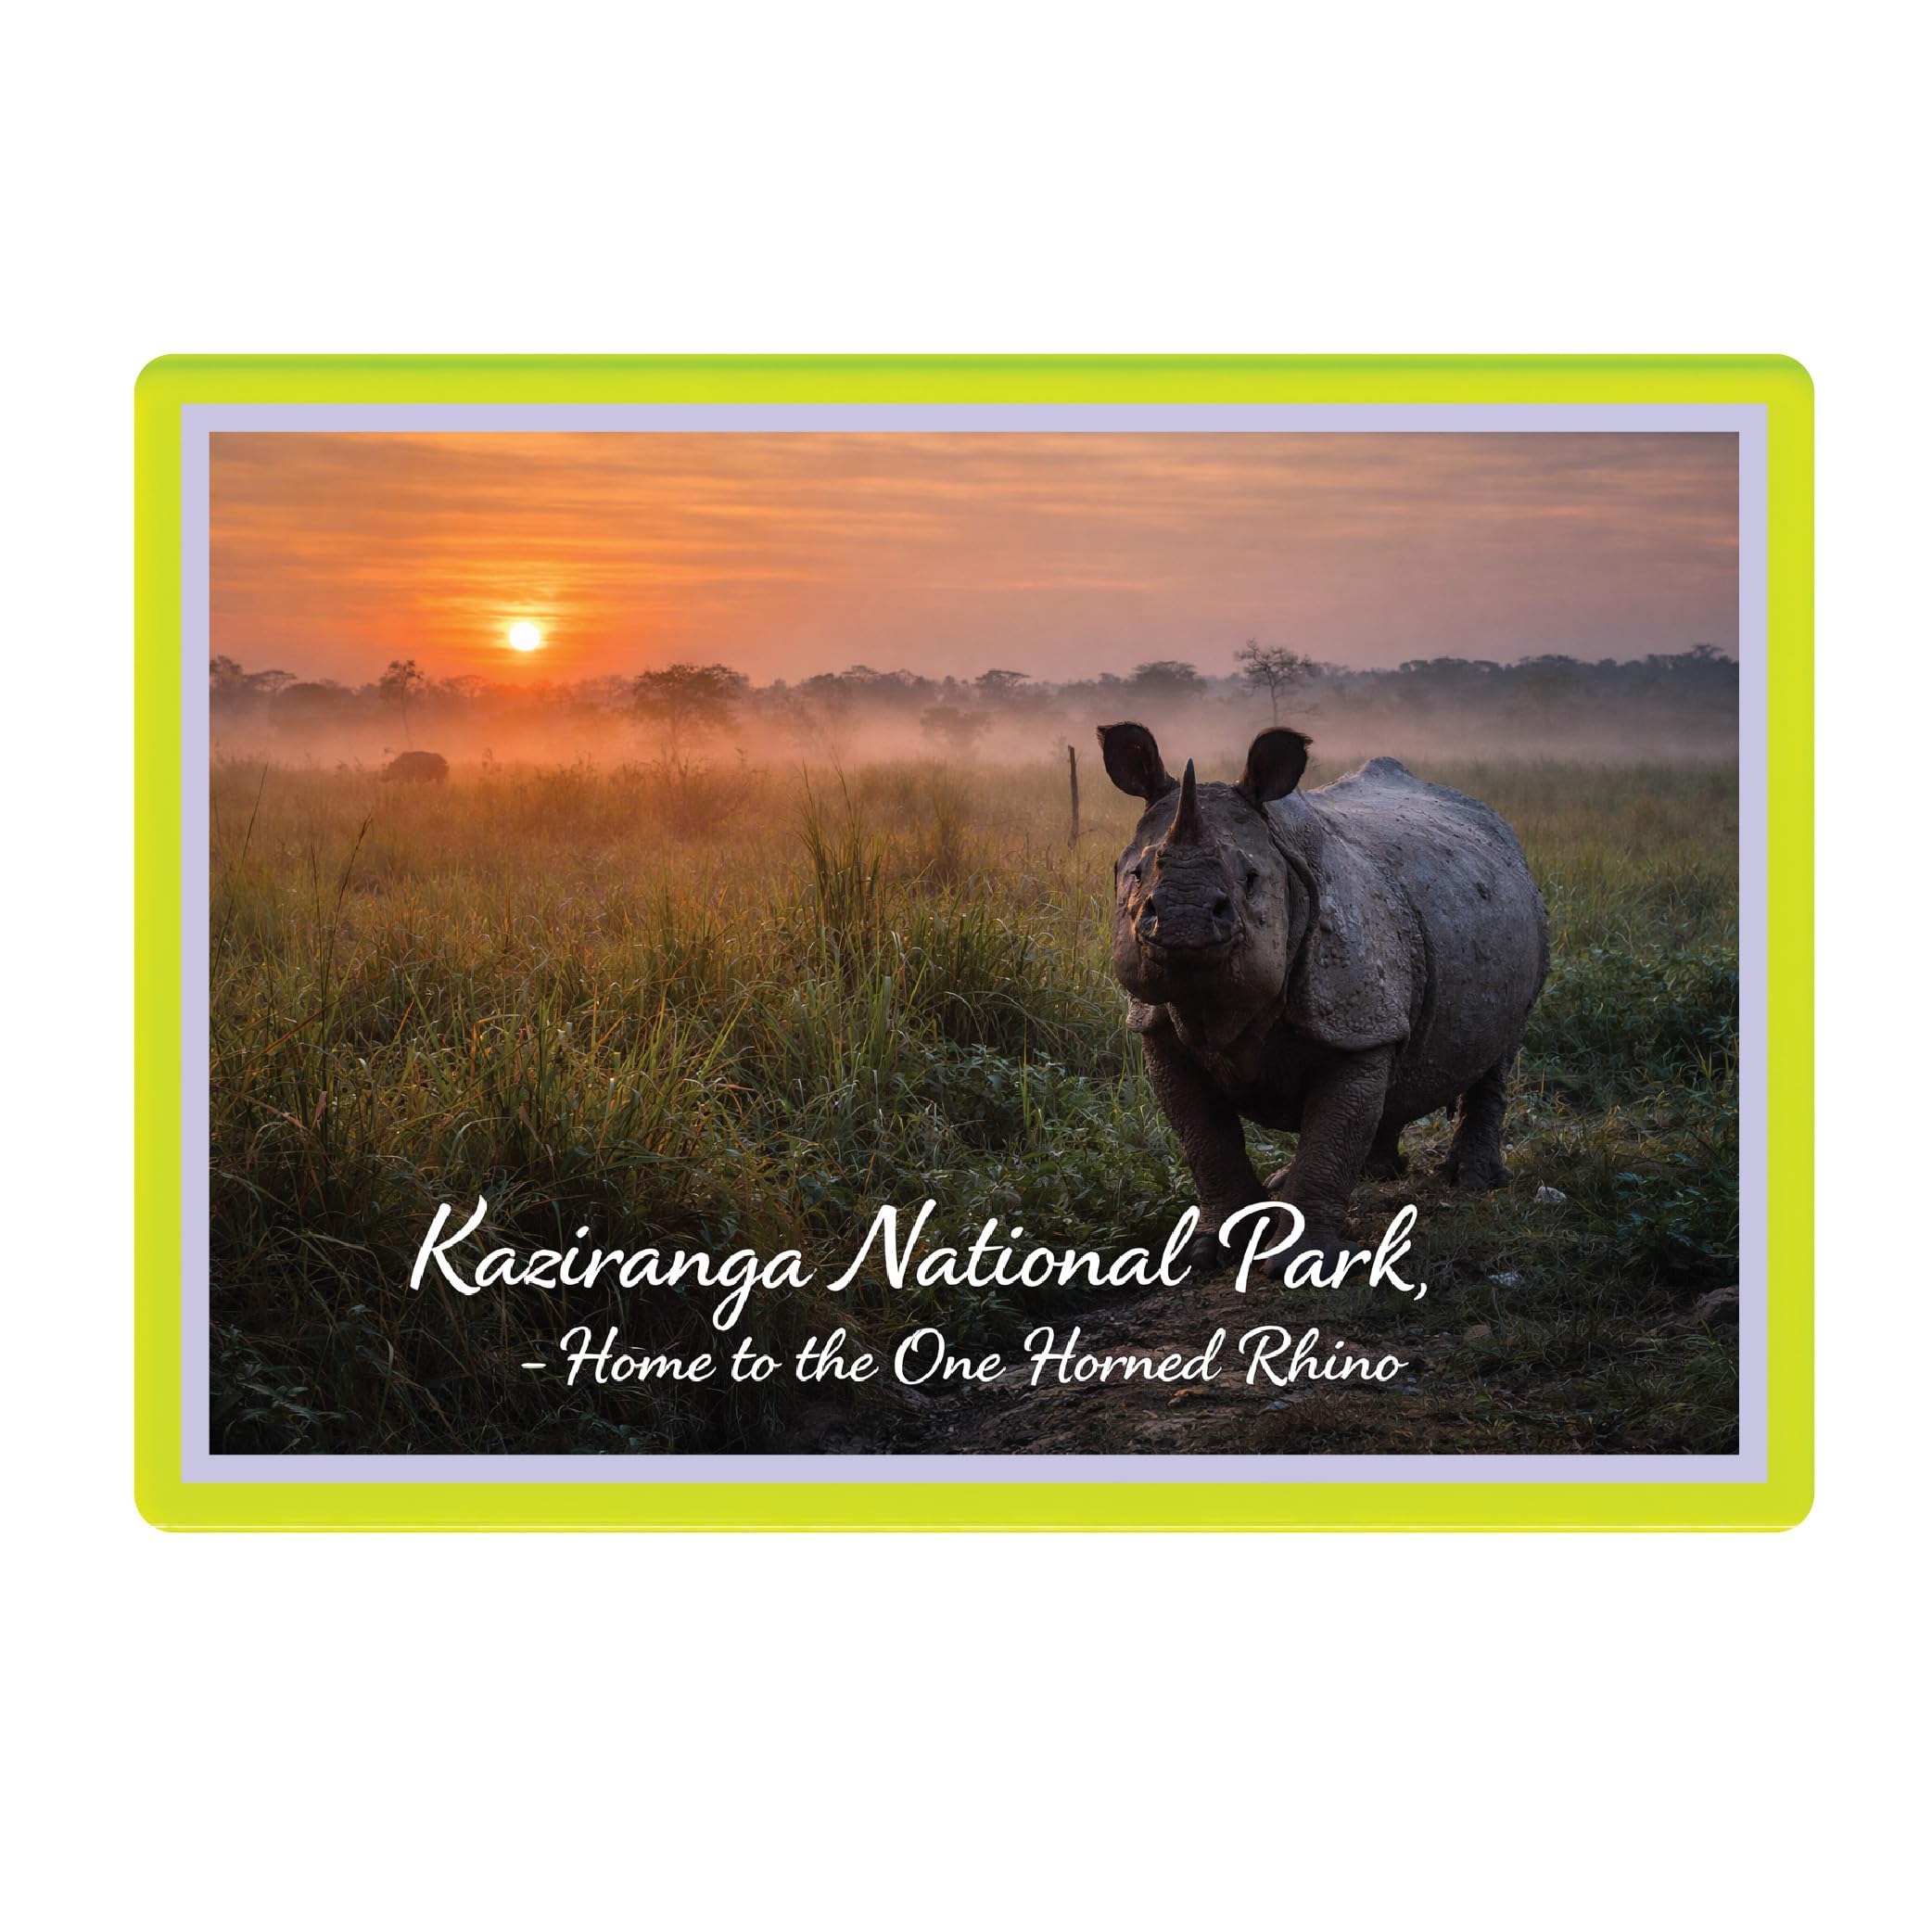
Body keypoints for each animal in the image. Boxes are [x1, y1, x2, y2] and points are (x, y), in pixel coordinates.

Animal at [1099, 722, 1548, 1268]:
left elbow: (1330, 1138)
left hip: (1517, 914)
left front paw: (1302, 1262)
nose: (1184, 919)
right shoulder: (1157, 1024)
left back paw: (1474, 1181)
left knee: (1499, 1050)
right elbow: (1205, 1139)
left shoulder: (1356, 1021)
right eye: (1135, 874)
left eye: (1251, 880)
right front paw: (1208, 1250)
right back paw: (1370, 1173)